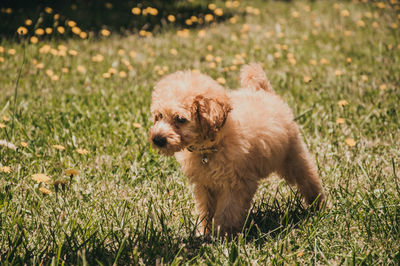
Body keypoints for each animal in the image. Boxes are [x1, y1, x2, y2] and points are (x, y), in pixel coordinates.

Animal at [148, 63, 324, 236]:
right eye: (159, 116)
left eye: (180, 119)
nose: (157, 139)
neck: (210, 147)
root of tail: (262, 91)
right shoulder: (205, 184)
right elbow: (206, 209)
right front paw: (205, 232)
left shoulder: (236, 183)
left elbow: (228, 211)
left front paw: (224, 236)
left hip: (292, 155)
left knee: (308, 177)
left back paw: (318, 205)